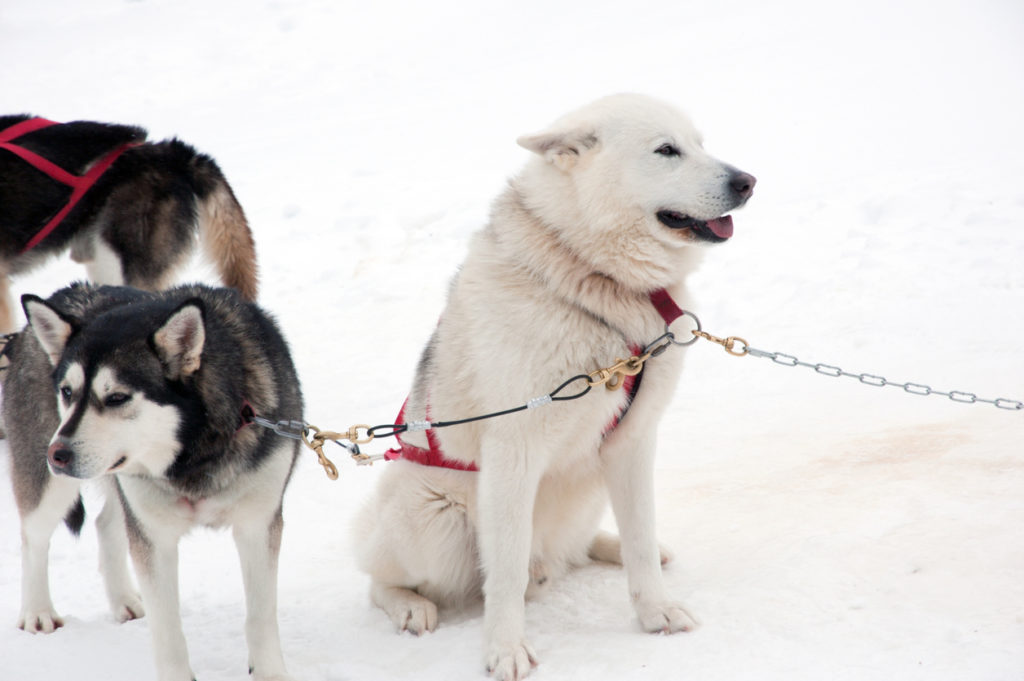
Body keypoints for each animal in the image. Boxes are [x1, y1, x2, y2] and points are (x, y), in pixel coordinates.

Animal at [356, 93, 757, 675]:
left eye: (701, 144)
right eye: (666, 150)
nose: (748, 181)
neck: (592, 280)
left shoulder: (632, 443)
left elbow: (639, 538)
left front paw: (654, 611)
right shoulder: (513, 454)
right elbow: (503, 575)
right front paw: (505, 650)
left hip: (589, 485)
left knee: (583, 545)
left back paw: (609, 548)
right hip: (436, 519)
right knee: (381, 579)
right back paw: (408, 604)